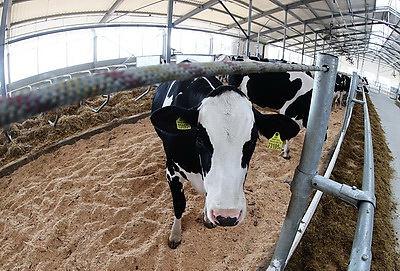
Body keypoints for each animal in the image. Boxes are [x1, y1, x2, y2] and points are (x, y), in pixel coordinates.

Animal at [151, 71, 300, 249]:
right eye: (200, 139)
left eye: (253, 141)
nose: (227, 216)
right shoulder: (171, 170)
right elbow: (179, 203)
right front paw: (175, 234)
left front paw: (207, 219)